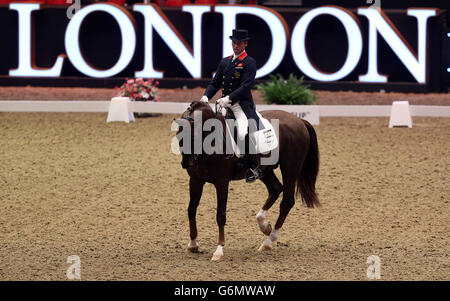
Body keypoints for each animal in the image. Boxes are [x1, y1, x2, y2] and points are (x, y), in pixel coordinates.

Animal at [173, 101, 320, 260]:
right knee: (275, 189)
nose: (186, 164)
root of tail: (300, 121)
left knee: (287, 201)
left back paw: (269, 240)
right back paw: (264, 226)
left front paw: (219, 250)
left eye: (194, 135)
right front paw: (192, 245)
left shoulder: (222, 182)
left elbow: (220, 215)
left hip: (290, 168)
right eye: (178, 136)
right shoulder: (196, 180)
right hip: (265, 170)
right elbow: (191, 210)